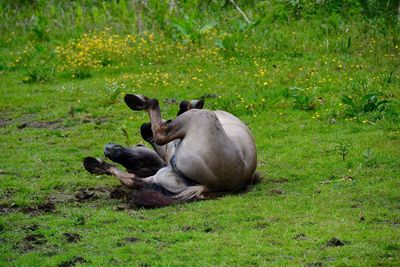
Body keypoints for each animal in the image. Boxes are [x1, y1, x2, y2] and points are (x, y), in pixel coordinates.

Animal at [83, 94, 258, 209]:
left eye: (140, 160)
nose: (109, 149)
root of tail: (210, 186)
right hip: (166, 175)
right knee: (133, 179)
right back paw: (94, 164)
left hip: (199, 117)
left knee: (160, 133)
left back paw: (138, 101)